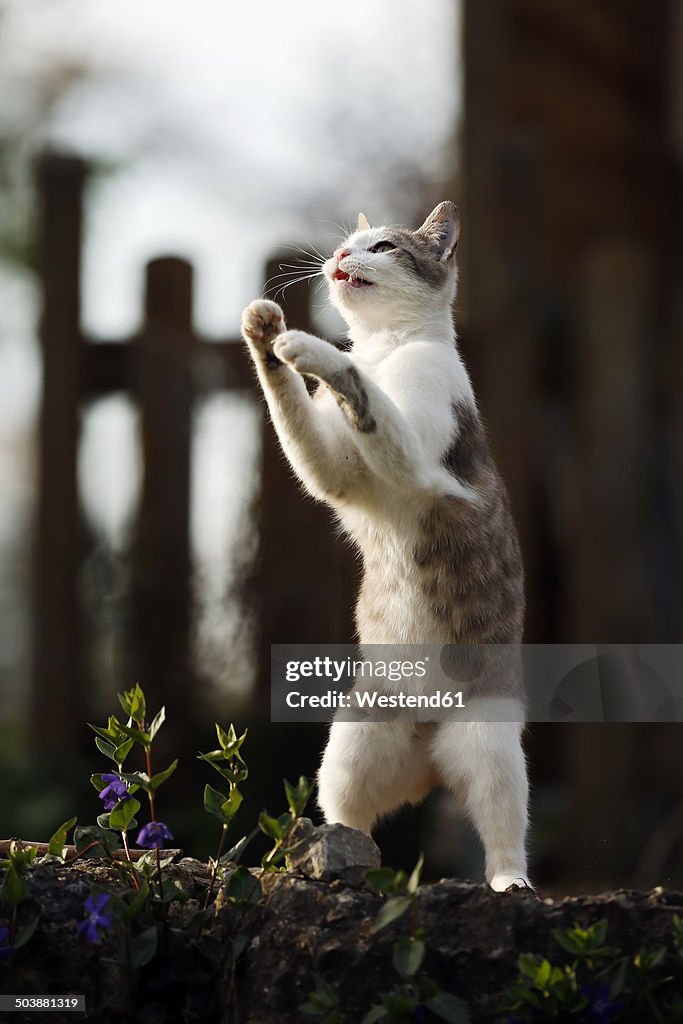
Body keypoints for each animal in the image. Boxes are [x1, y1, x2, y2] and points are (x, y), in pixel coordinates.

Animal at [242, 203, 532, 892]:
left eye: (383, 247)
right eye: (348, 244)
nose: (342, 258)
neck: (387, 349)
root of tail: (430, 760)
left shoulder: (418, 460)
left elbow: (358, 388)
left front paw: (306, 345)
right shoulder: (338, 471)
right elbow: (306, 419)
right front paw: (266, 333)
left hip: (490, 744)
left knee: (504, 832)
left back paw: (511, 883)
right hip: (350, 745)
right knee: (351, 817)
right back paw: (331, 855)